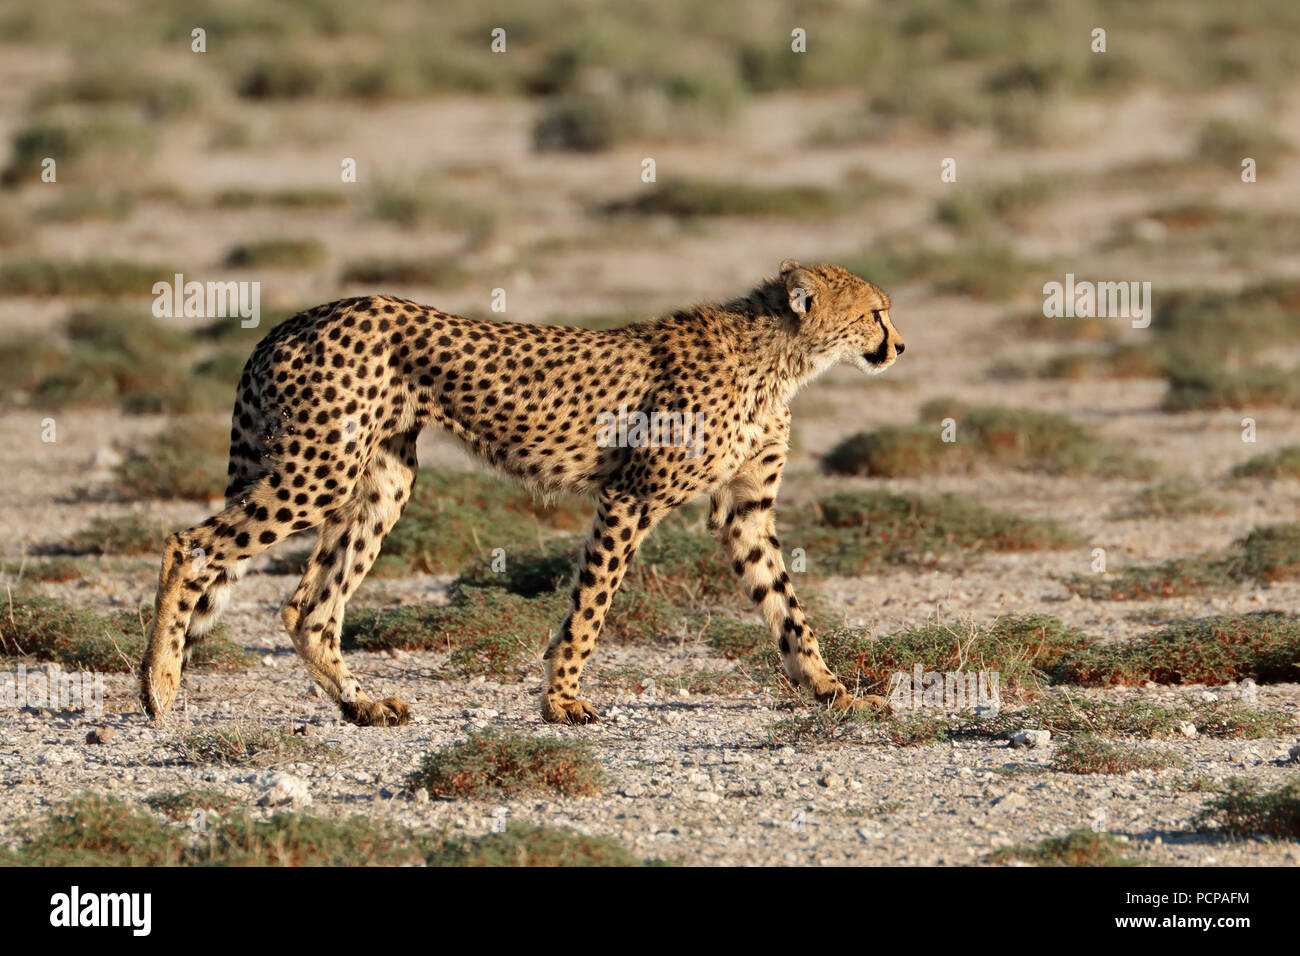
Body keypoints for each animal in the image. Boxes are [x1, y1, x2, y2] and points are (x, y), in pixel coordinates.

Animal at [139, 261, 904, 723]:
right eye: (876, 313)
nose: (898, 348)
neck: (781, 355)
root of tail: (300, 316)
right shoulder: (630, 498)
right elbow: (590, 609)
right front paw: (561, 702)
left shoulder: (745, 510)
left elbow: (786, 607)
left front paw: (830, 689)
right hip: (318, 471)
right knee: (191, 545)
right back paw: (158, 686)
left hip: (383, 481)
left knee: (309, 606)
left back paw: (362, 707)